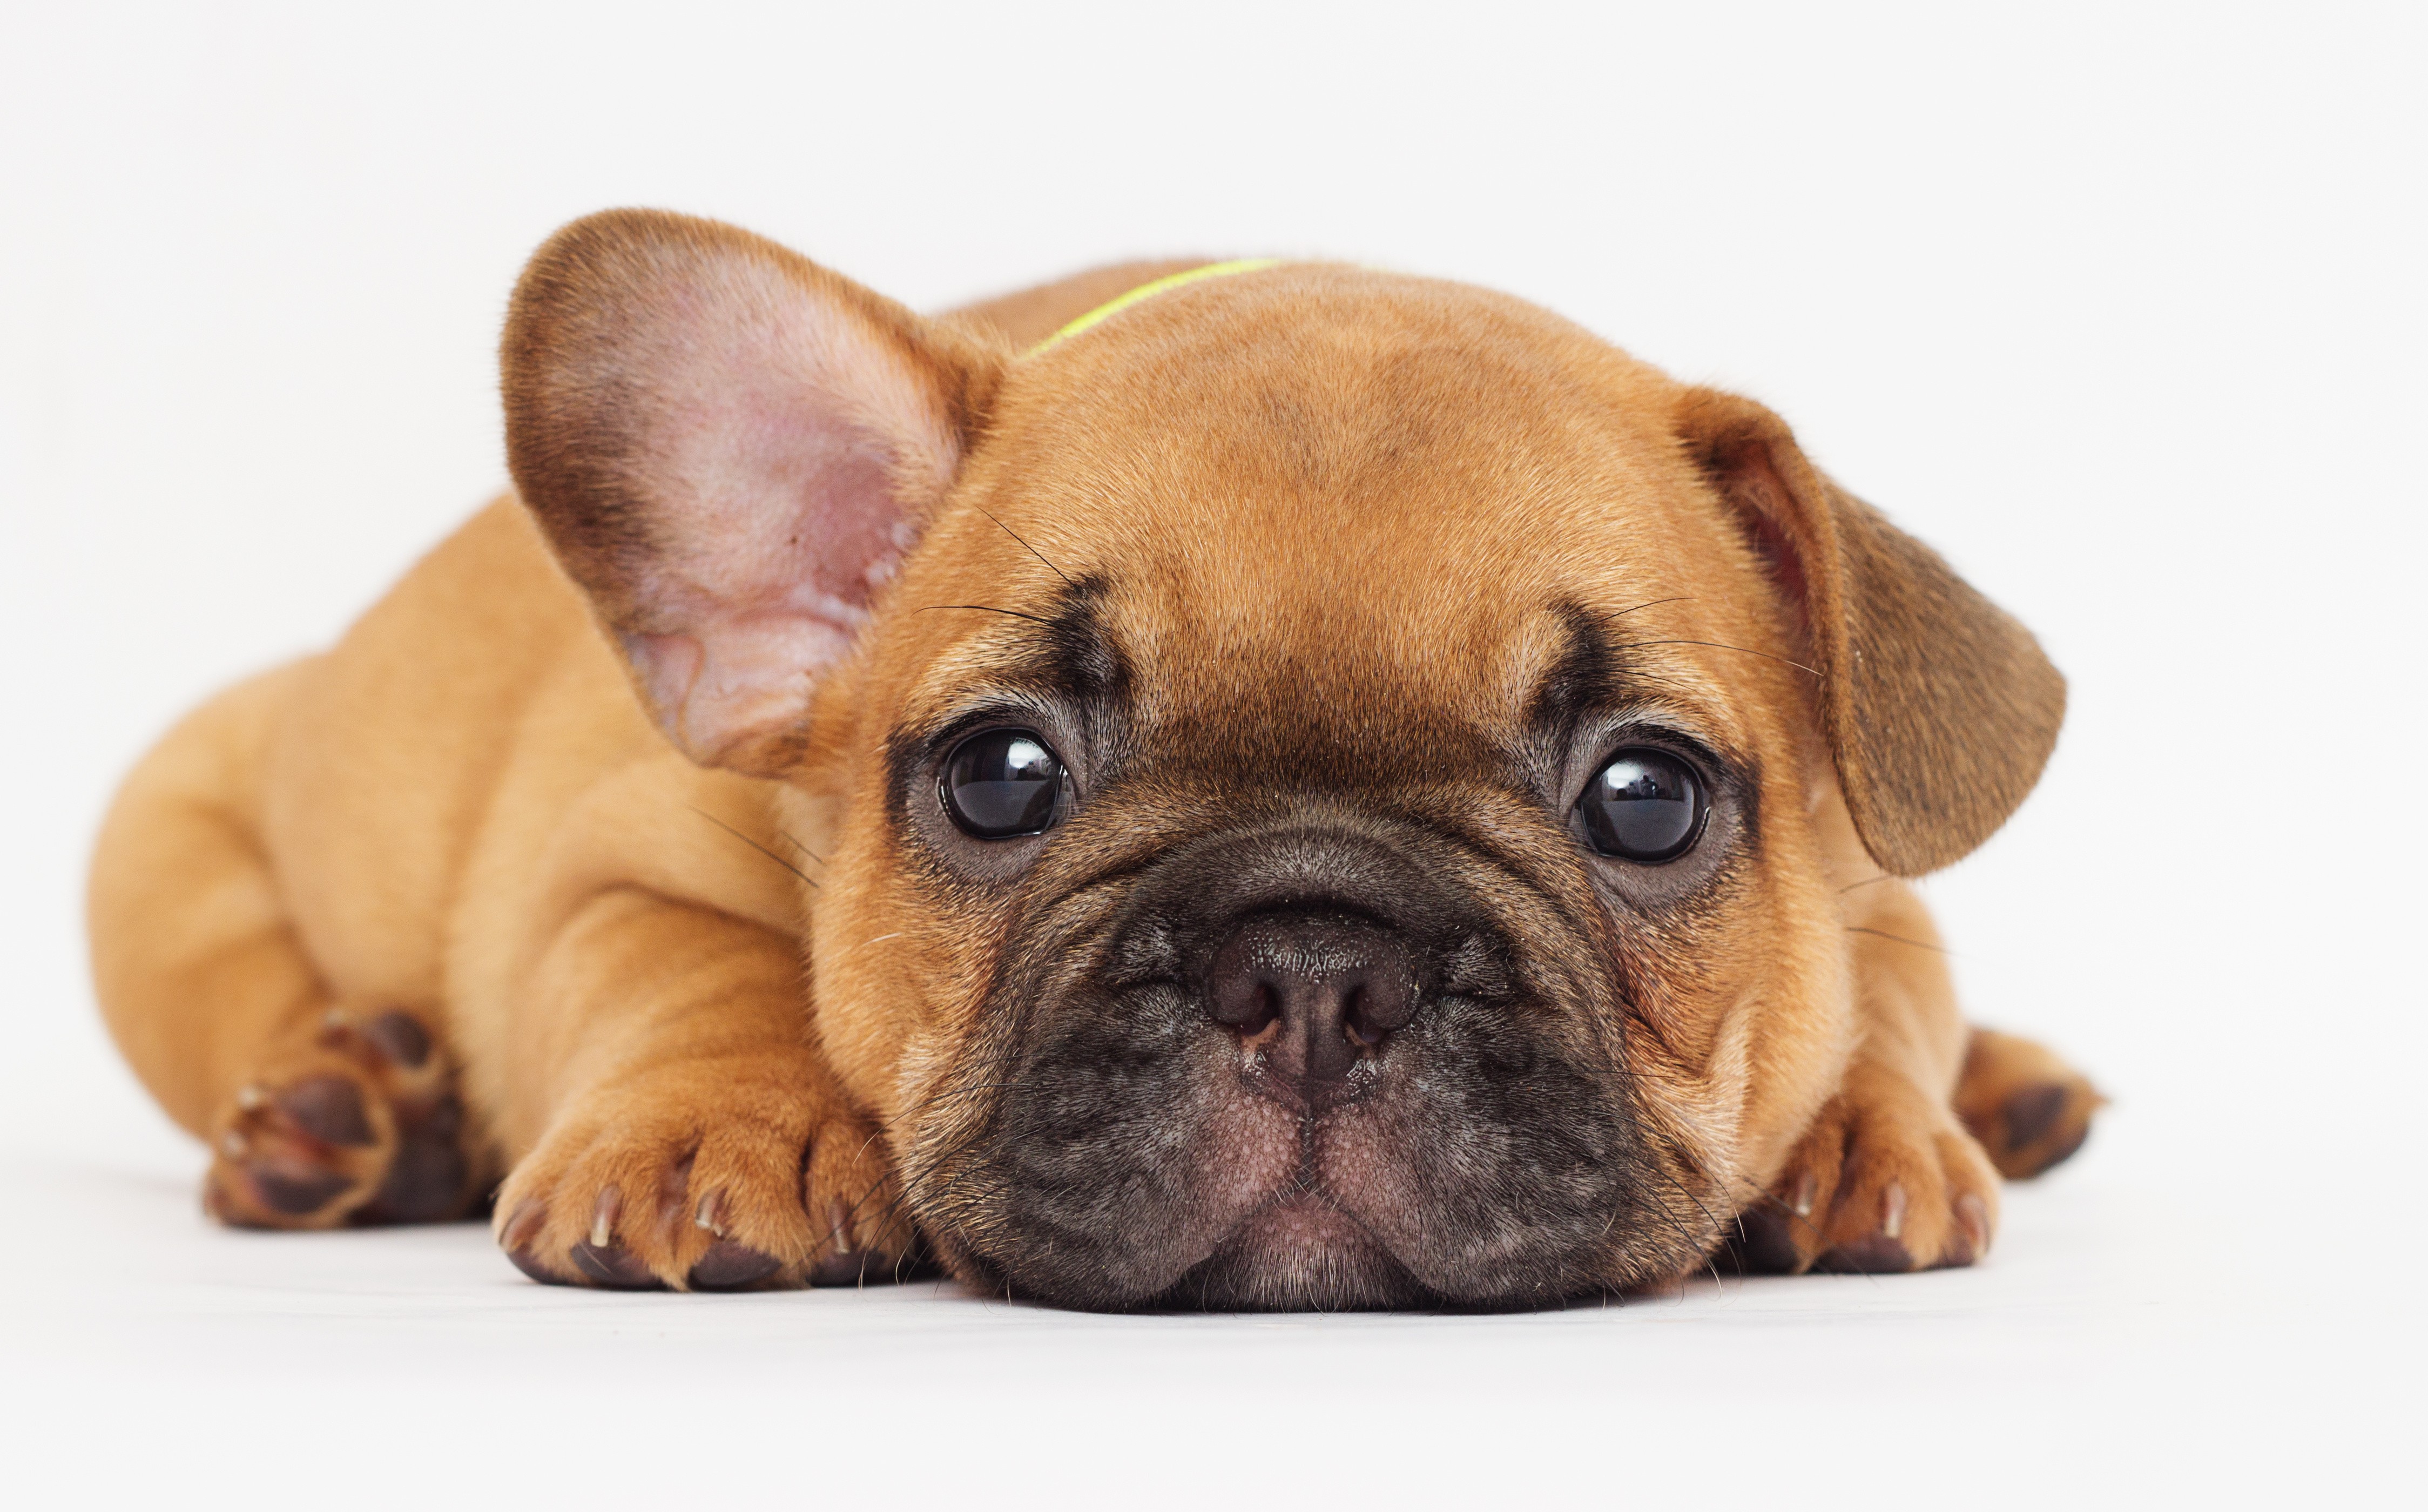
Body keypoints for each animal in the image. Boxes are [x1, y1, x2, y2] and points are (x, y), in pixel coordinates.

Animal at [85, 207, 2097, 1310]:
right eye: (999, 778)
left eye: (1645, 799)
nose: (1313, 965)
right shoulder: (629, 849)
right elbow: (680, 964)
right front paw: (719, 1126)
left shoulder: (1877, 901)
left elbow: (1882, 1006)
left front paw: (1866, 1131)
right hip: (161, 855)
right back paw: (346, 1115)